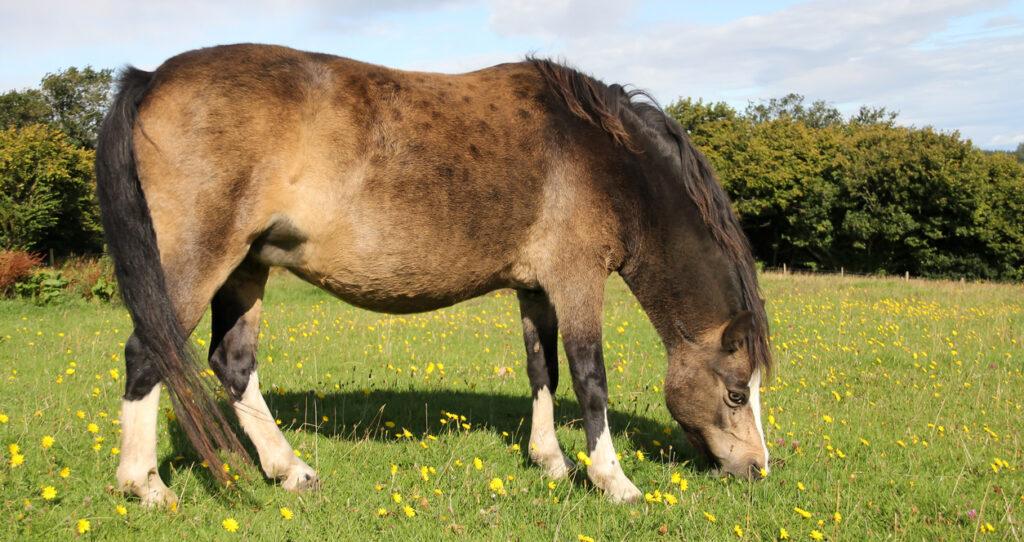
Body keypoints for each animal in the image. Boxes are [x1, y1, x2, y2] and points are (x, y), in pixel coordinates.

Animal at [95, 43, 771, 506]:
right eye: (737, 394)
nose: (759, 468)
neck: (600, 155)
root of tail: (150, 79)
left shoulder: (535, 288)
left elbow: (543, 371)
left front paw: (549, 461)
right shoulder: (576, 281)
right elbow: (590, 378)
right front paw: (612, 480)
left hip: (247, 267)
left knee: (232, 363)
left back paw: (290, 469)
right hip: (199, 260)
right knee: (147, 353)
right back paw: (144, 485)